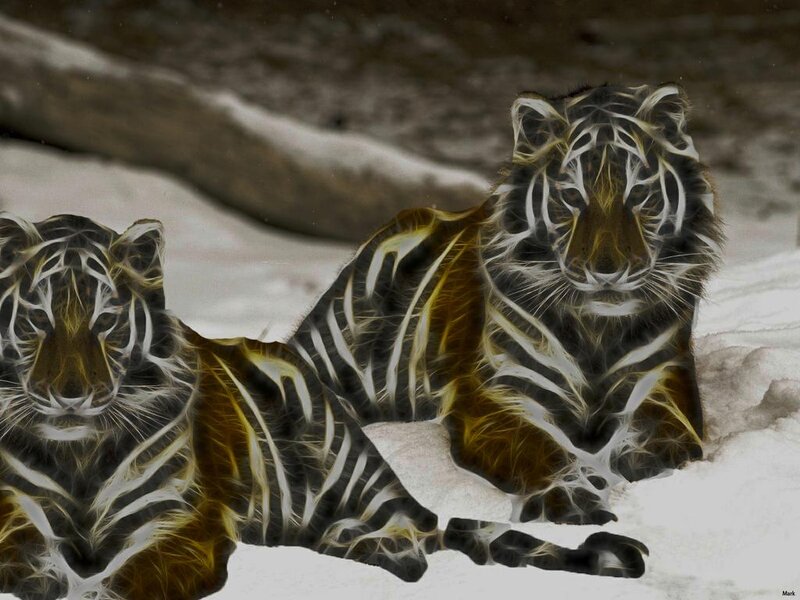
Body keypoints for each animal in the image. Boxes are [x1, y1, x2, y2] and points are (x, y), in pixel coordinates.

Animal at [0, 214, 648, 600]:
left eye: (106, 321)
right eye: (37, 319)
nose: (71, 396)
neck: (79, 453)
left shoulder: (183, 527)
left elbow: (120, 582)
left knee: (411, 533)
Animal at [291, 83, 723, 526]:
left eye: (638, 194)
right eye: (572, 197)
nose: (607, 272)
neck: (596, 331)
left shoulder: (663, 379)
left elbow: (667, 438)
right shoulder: (498, 394)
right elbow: (539, 450)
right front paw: (570, 498)